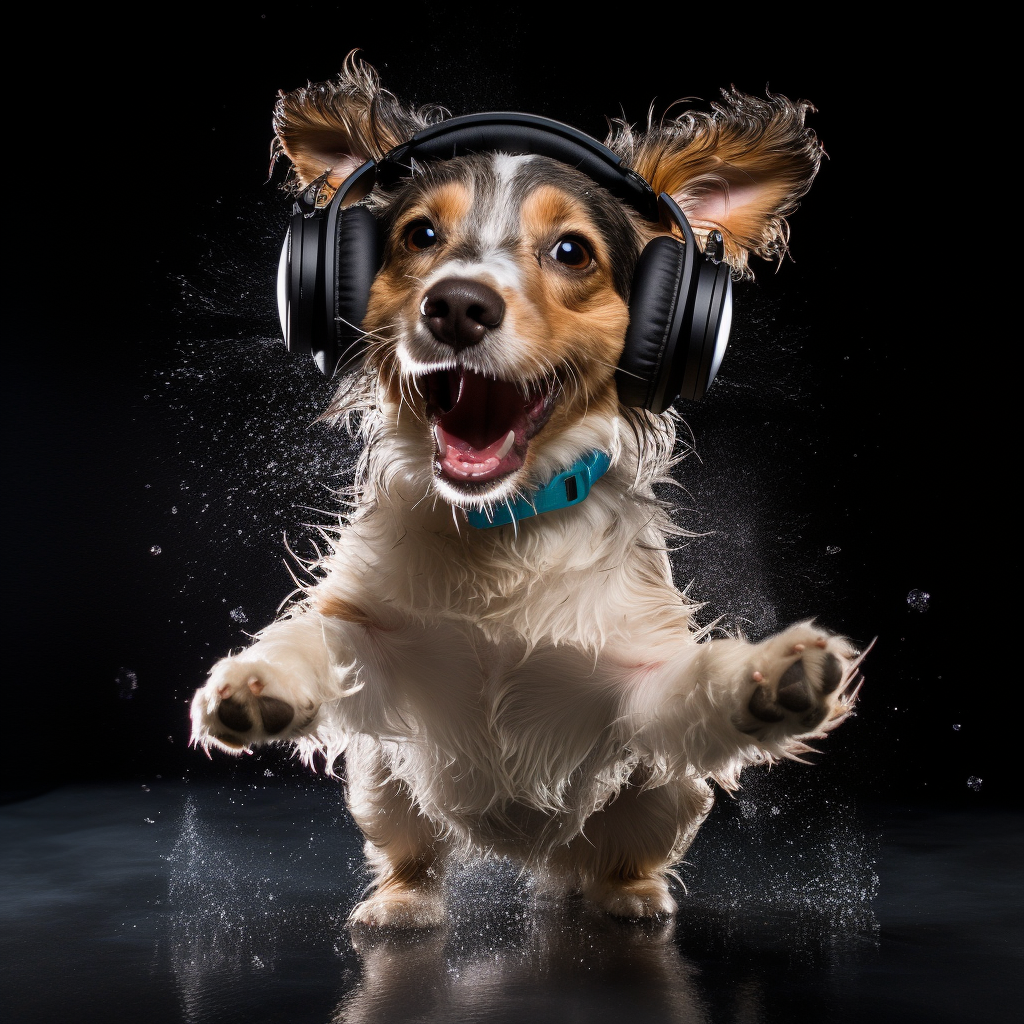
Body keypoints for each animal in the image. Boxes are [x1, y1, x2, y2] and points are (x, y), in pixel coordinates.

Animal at [188, 54, 860, 929]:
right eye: (421, 236)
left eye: (572, 251)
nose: (457, 305)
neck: (499, 530)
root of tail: (534, 856)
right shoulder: (383, 654)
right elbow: (319, 635)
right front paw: (262, 681)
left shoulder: (630, 691)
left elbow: (691, 688)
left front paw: (766, 680)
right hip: (384, 786)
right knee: (413, 852)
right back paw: (401, 902)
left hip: (663, 799)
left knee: (623, 854)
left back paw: (627, 894)